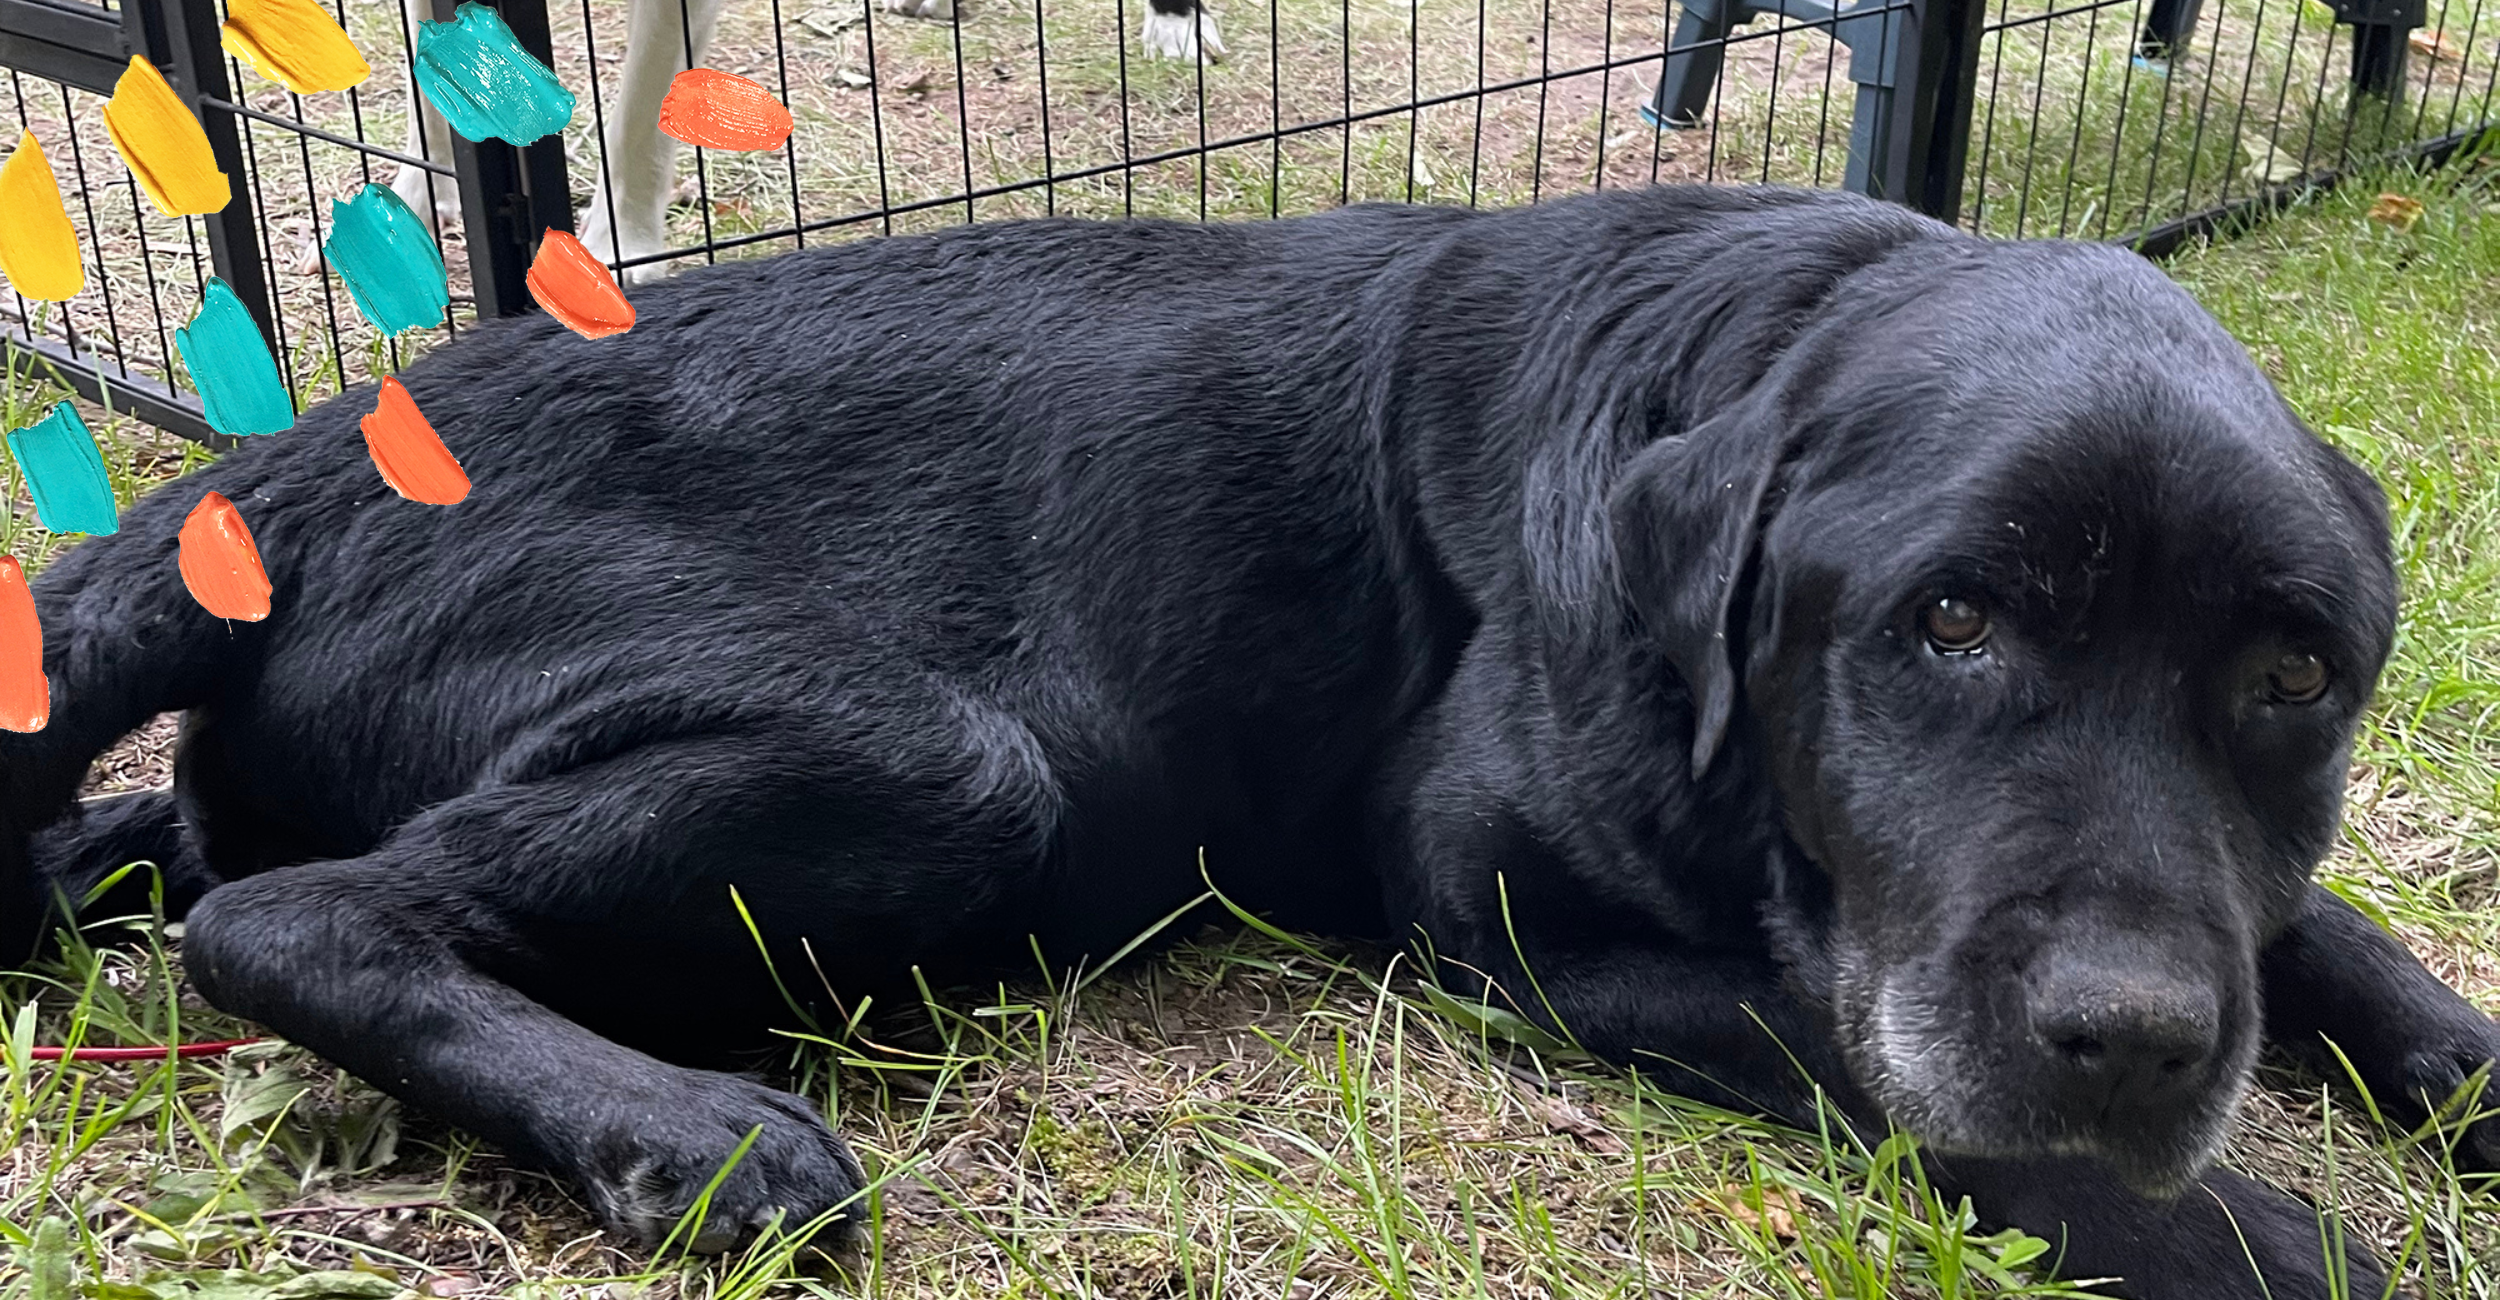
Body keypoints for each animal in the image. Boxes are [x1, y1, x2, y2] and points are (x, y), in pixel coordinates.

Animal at [4, 185, 2500, 1300]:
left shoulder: (2221, 892)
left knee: (148, 853)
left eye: (2291, 672)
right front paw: (2274, 1229)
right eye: (1946, 620)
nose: (2130, 1032)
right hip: (945, 764)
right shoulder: (1521, 925)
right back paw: (687, 1133)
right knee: (292, 914)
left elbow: (2337, 950)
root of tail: (281, 471)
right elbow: (1906, 1081)